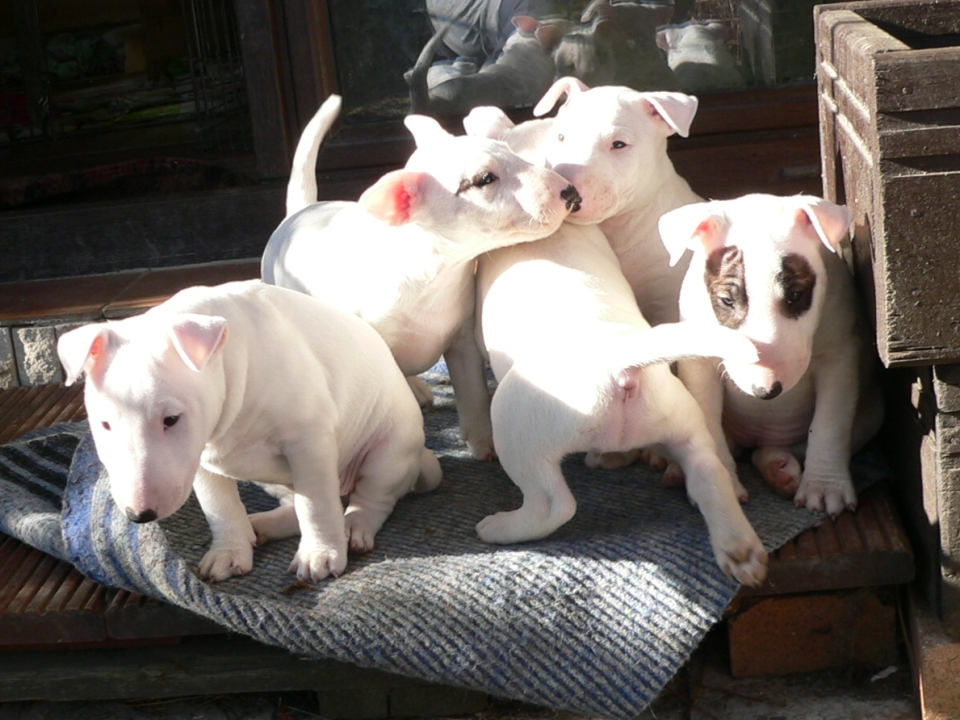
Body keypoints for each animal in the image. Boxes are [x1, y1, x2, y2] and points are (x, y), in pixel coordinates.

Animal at [57, 280, 442, 583]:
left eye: (171, 419)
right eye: (105, 424)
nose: (140, 515)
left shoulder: (308, 439)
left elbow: (316, 504)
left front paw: (319, 556)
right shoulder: (201, 459)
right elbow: (219, 506)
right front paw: (228, 554)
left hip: (389, 452)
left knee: (370, 497)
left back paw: (353, 528)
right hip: (273, 479)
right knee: (294, 503)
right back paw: (260, 526)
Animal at [261, 94, 580, 461]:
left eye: (512, 154)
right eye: (484, 179)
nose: (571, 193)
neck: (431, 276)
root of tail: (299, 213)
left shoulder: (462, 337)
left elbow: (473, 390)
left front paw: (486, 444)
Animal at [475, 221, 768, 586]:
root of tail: (619, 362)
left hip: (516, 431)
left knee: (553, 505)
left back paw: (499, 527)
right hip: (682, 424)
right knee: (708, 471)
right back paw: (740, 551)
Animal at [658, 193, 885, 516]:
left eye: (795, 295)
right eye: (726, 300)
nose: (765, 391)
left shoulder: (839, 356)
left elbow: (830, 424)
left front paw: (825, 489)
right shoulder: (699, 360)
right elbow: (707, 419)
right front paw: (721, 486)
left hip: (871, 414)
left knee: (785, 446)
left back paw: (779, 467)